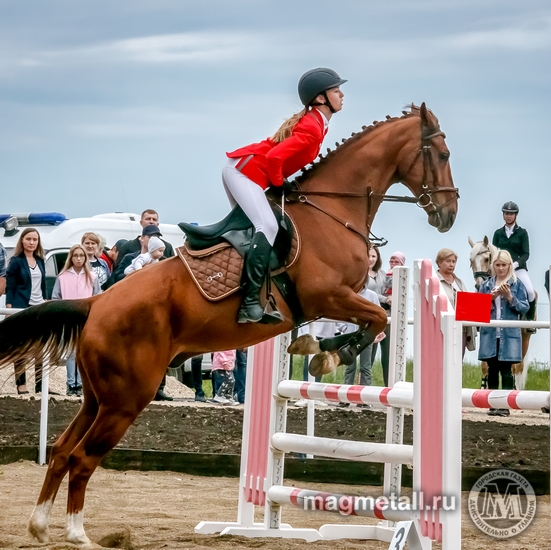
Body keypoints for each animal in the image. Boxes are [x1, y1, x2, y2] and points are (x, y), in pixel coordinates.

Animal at [0, 103, 458, 548]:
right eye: (443, 155)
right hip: (125, 401)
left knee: (61, 451)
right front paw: (324, 353)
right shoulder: (330, 296)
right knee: (81, 459)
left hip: (99, 398)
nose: (449, 214)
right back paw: (78, 534)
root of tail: (96, 302)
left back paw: (40, 527)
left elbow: (375, 320)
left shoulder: (338, 299)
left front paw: (314, 350)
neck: (332, 211)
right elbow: (377, 318)